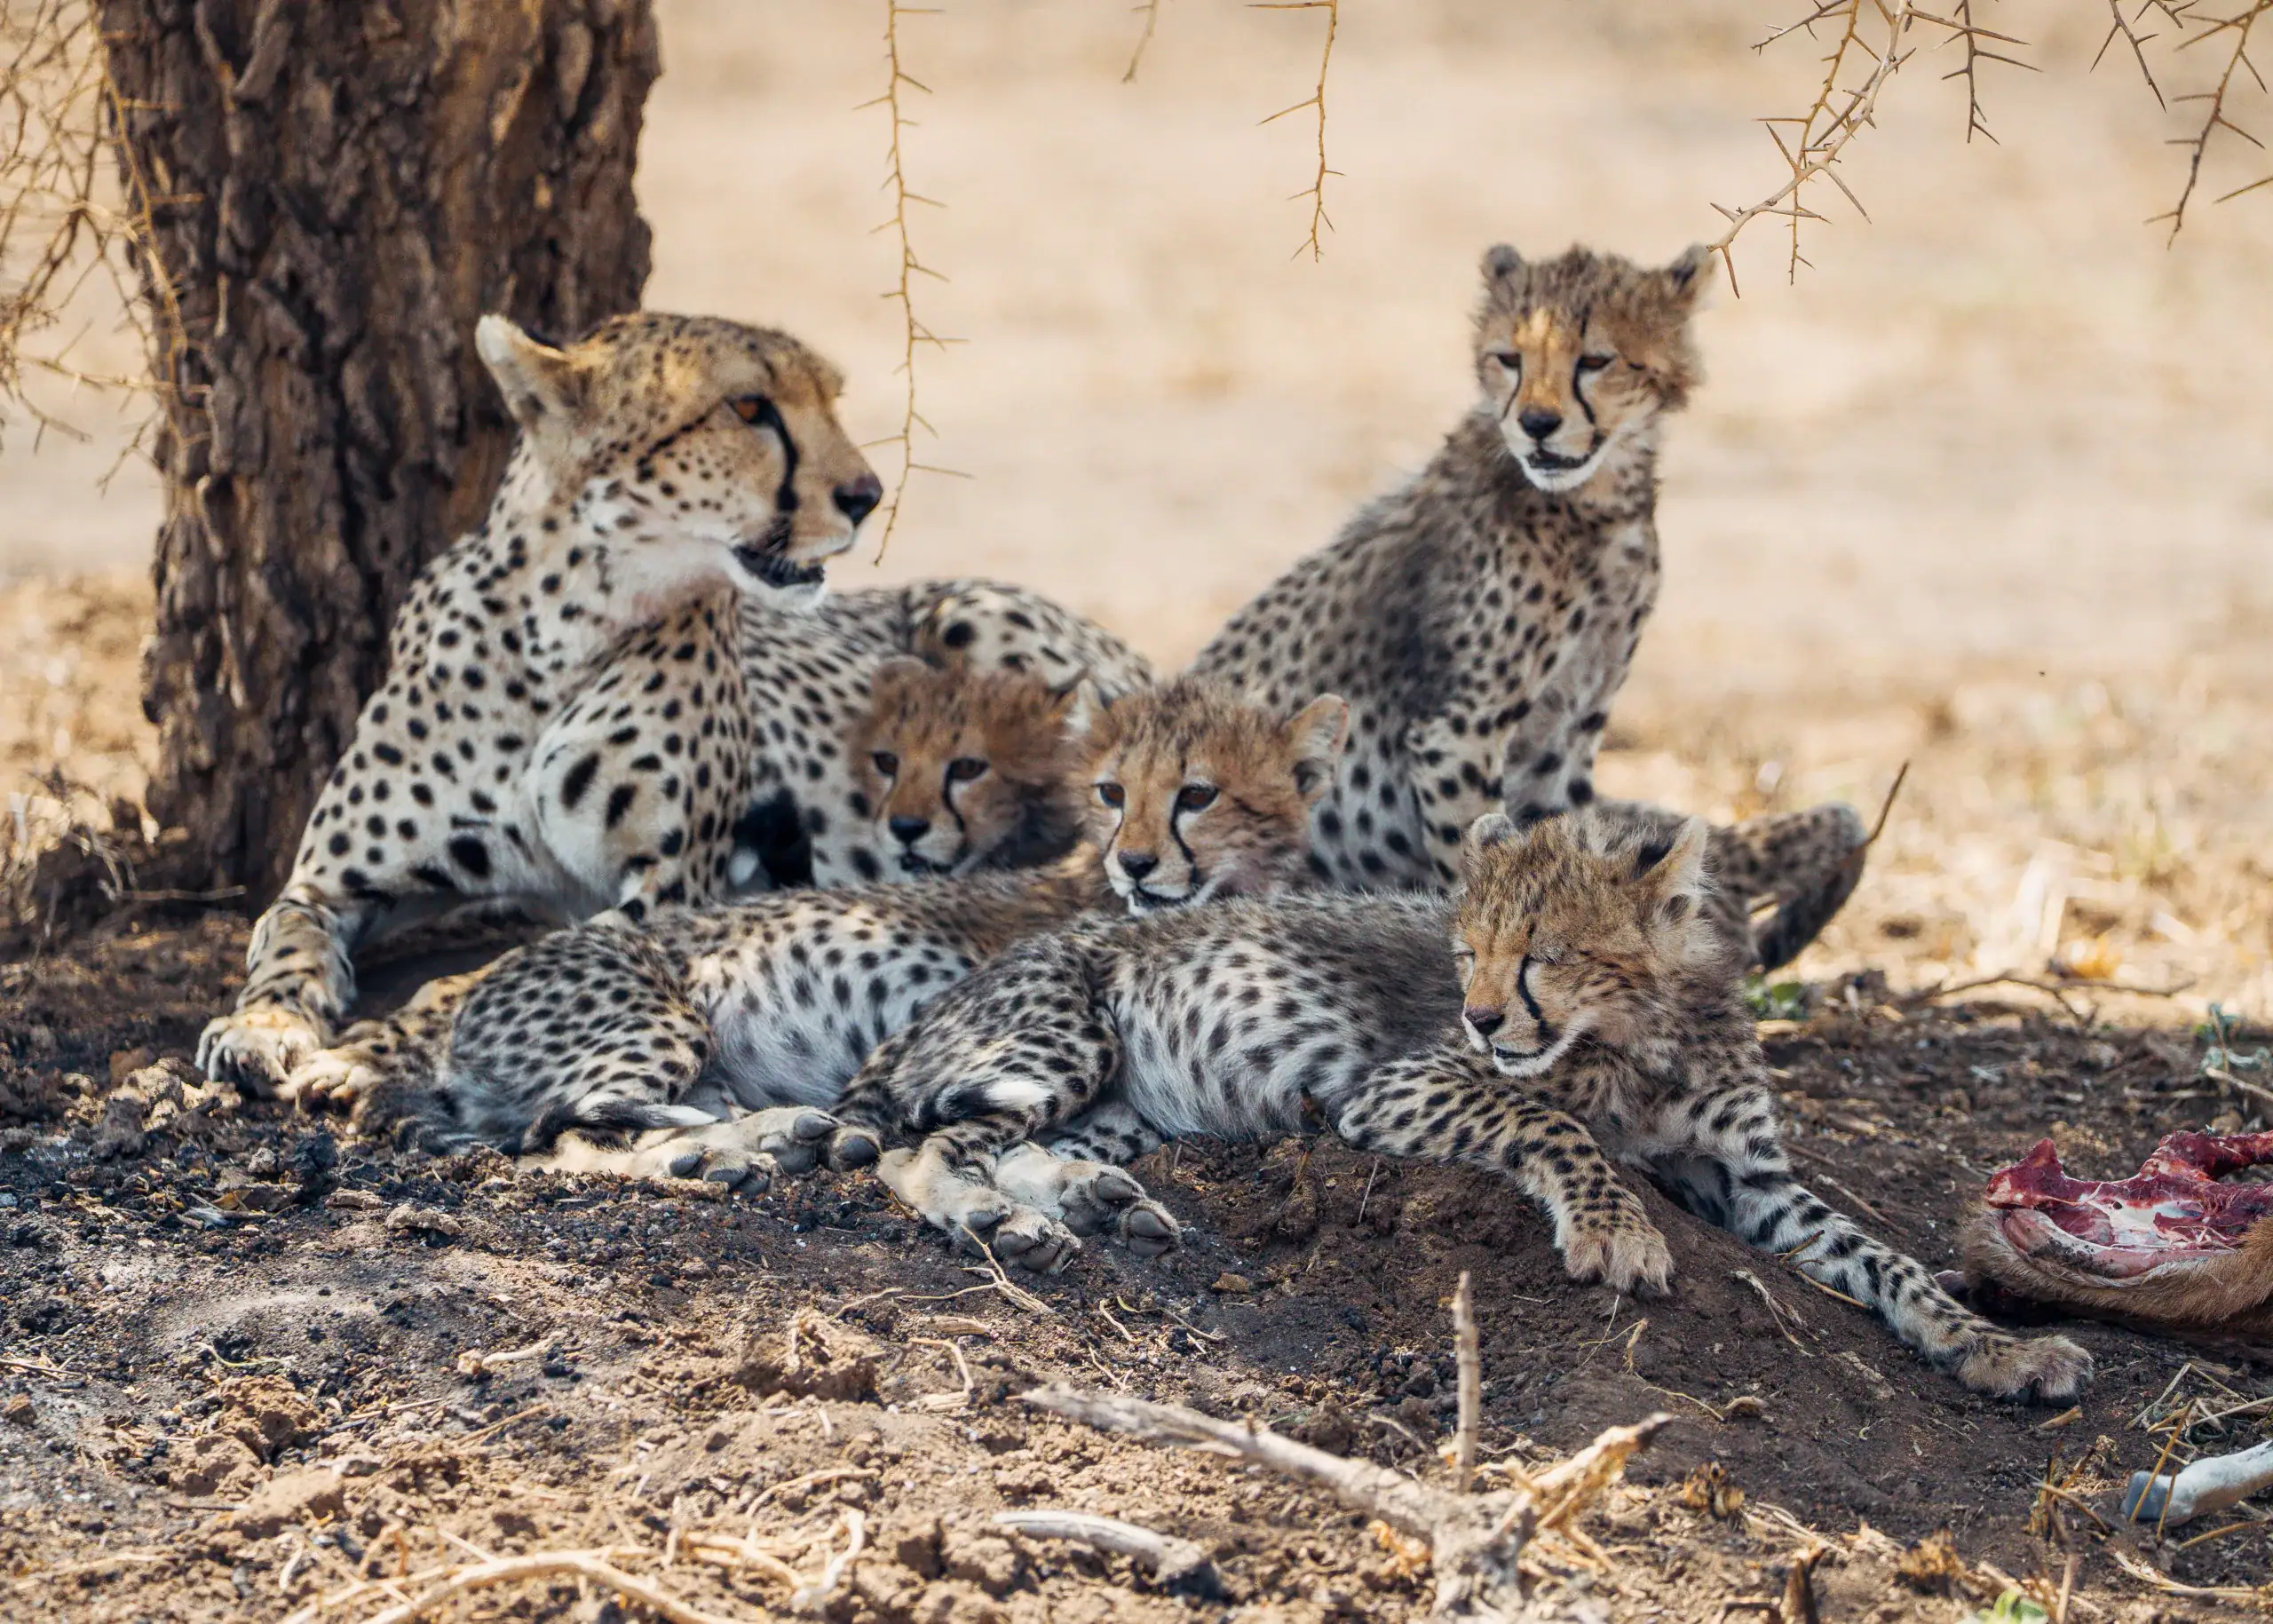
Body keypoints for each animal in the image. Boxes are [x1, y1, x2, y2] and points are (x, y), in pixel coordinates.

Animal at [197, 309, 1151, 1095]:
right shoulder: (325, 884)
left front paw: (369, 1049)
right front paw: (260, 1026)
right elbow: (283, 942)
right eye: (748, 407)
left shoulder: (670, 888)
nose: (866, 496)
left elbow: (470, 975)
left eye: (829, 399)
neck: (561, 632)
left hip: (978, 620)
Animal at [287, 674, 1350, 1201]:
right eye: (1111, 790)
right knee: (571, 1126)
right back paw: (738, 1148)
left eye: (1198, 794)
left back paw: (758, 1139)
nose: (1135, 863)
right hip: (661, 1018)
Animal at [821, 803, 2091, 1402]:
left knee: (1023, 1141)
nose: (1482, 1016)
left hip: (1129, 1096)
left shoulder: (1753, 1179)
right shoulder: (1398, 1086)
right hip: (1065, 1032)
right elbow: (1556, 1124)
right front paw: (1618, 1231)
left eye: (1546, 954)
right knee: (919, 1145)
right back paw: (999, 1217)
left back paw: (1092, 1198)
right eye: (1467, 949)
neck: (1641, 1038)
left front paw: (1996, 1346)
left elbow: (1887, 1259)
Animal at [1183, 240, 1867, 969]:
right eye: (1508, 358)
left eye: (1595, 360)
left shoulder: (1562, 739)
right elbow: (1477, 868)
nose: (1537, 423)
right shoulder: (1457, 735)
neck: (1598, 507)